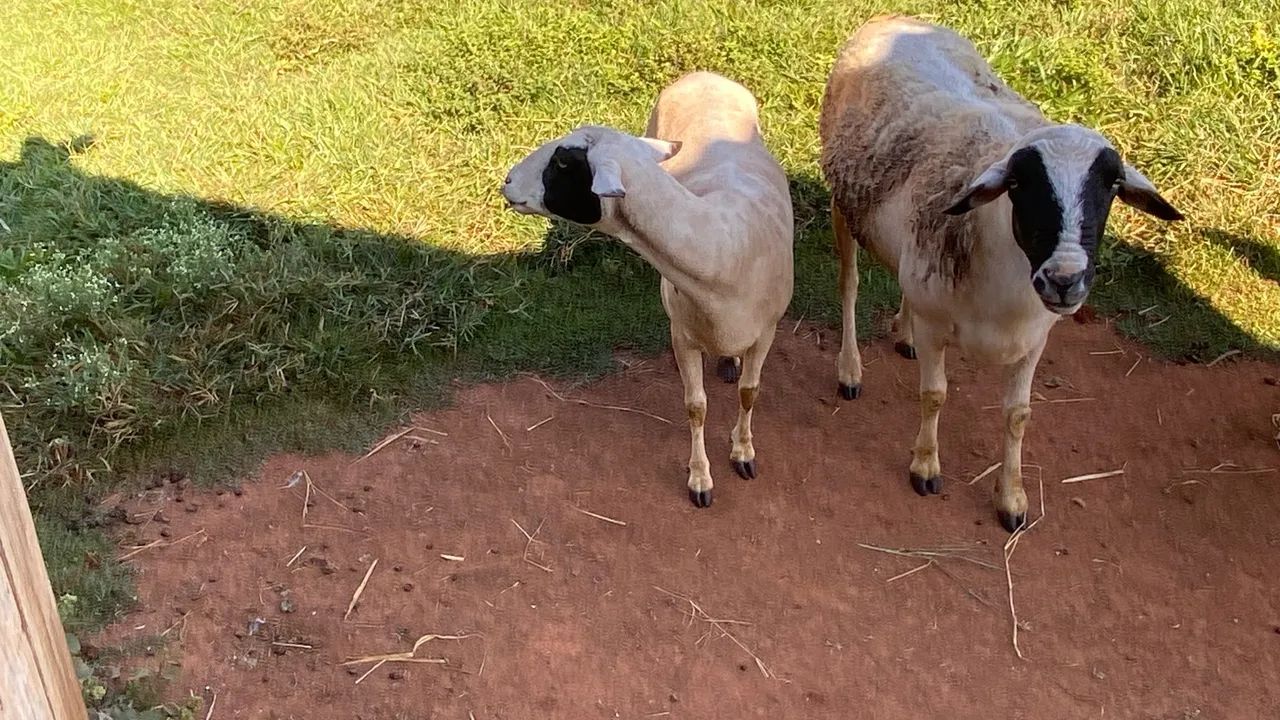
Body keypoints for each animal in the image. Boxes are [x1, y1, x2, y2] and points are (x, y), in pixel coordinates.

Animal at [502, 71, 795, 508]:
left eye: (563, 161)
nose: (506, 181)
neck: (724, 246)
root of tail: (703, 75)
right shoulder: (682, 334)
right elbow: (696, 407)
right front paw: (700, 479)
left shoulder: (767, 332)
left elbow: (749, 392)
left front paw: (743, 453)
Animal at [819, 16, 1183, 531]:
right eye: (1018, 183)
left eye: (1111, 184)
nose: (1064, 279)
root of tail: (894, 18)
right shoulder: (938, 324)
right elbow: (934, 395)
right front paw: (925, 467)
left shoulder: (1034, 338)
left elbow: (1017, 415)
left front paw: (1011, 498)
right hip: (844, 202)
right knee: (849, 285)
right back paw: (849, 369)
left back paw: (903, 333)